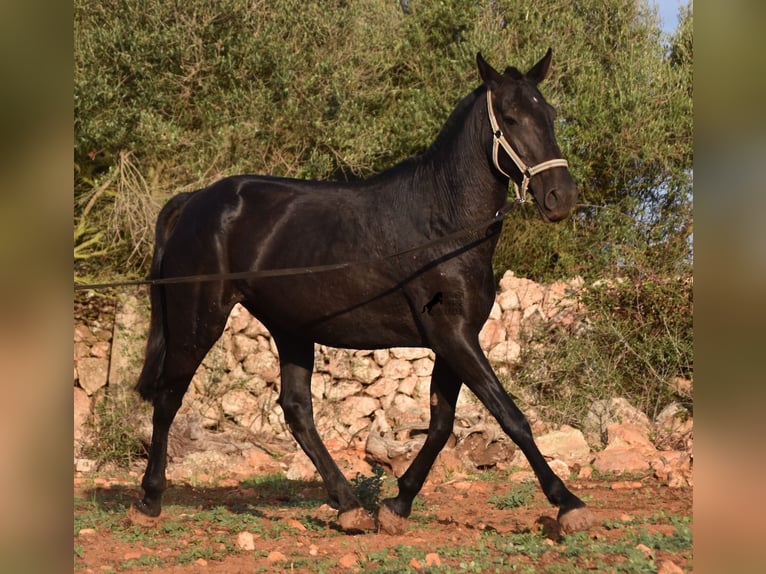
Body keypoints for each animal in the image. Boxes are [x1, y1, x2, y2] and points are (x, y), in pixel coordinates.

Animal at [134, 49, 600, 536]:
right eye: (510, 118)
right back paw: (149, 498)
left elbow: (441, 424)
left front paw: (398, 504)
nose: (561, 197)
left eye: (549, 114)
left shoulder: (454, 338)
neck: (443, 224)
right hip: (198, 321)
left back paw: (349, 505)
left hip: (291, 329)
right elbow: (511, 416)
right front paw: (568, 504)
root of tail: (195, 200)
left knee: (297, 411)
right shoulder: (453, 337)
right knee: (168, 398)